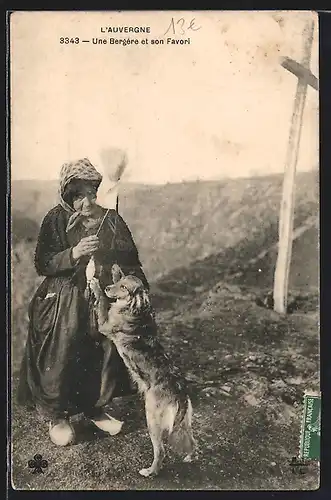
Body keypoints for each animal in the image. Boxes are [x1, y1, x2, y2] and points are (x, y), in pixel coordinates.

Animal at [89, 262, 196, 476]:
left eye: (124, 287)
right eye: (119, 282)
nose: (108, 287)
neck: (134, 308)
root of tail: (180, 393)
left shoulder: (104, 325)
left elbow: (102, 302)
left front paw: (97, 287)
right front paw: (115, 269)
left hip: (152, 418)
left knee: (161, 450)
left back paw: (150, 471)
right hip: (184, 423)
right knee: (191, 441)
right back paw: (190, 457)